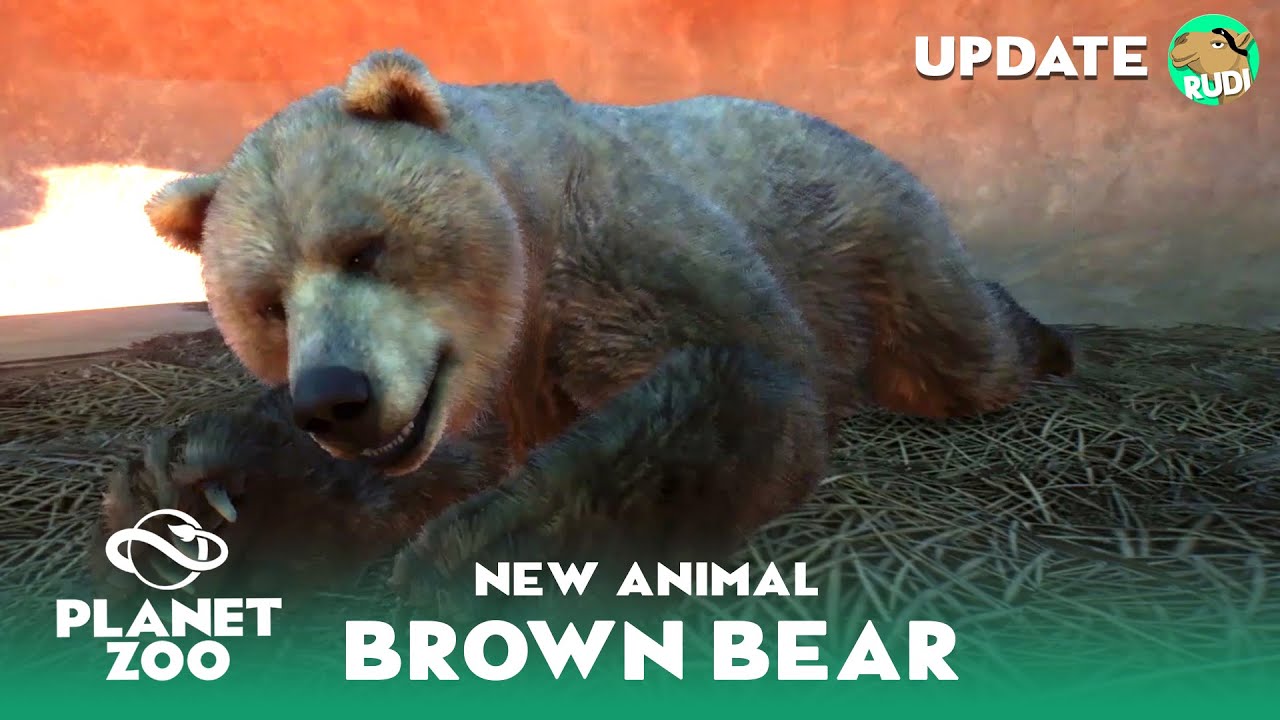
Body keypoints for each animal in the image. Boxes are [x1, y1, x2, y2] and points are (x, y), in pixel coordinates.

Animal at [90, 49, 1074, 607]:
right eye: (266, 302)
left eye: (366, 246)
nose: (336, 398)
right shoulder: (483, 381)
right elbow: (441, 453)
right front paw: (200, 495)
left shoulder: (620, 249)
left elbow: (732, 384)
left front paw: (487, 556)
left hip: (871, 235)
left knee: (960, 349)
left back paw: (1043, 340)